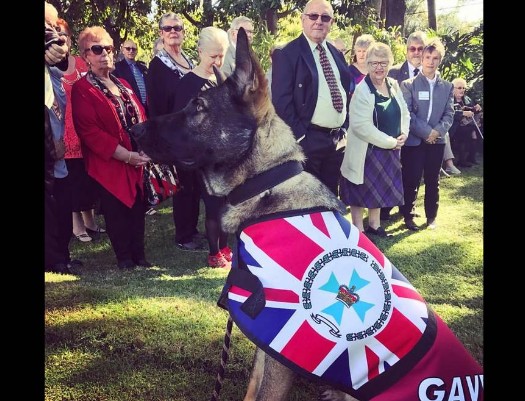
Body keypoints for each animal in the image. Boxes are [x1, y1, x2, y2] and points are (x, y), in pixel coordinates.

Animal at [131, 28, 484, 400]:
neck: (266, 183)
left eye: (198, 108)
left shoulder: (279, 351)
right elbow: (253, 386)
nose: (134, 131)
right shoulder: (269, 344)